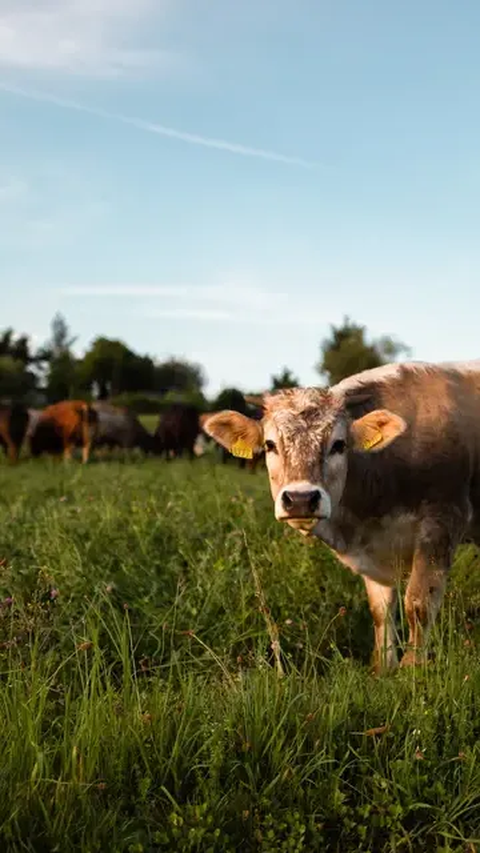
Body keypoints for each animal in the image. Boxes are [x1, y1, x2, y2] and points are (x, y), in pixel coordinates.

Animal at [202, 360, 480, 672]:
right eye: (270, 445)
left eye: (339, 444)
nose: (300, 499)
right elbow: (381, 610)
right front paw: (383, 668)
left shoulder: (442, 520)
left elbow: (418, 604)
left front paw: (412, 669)